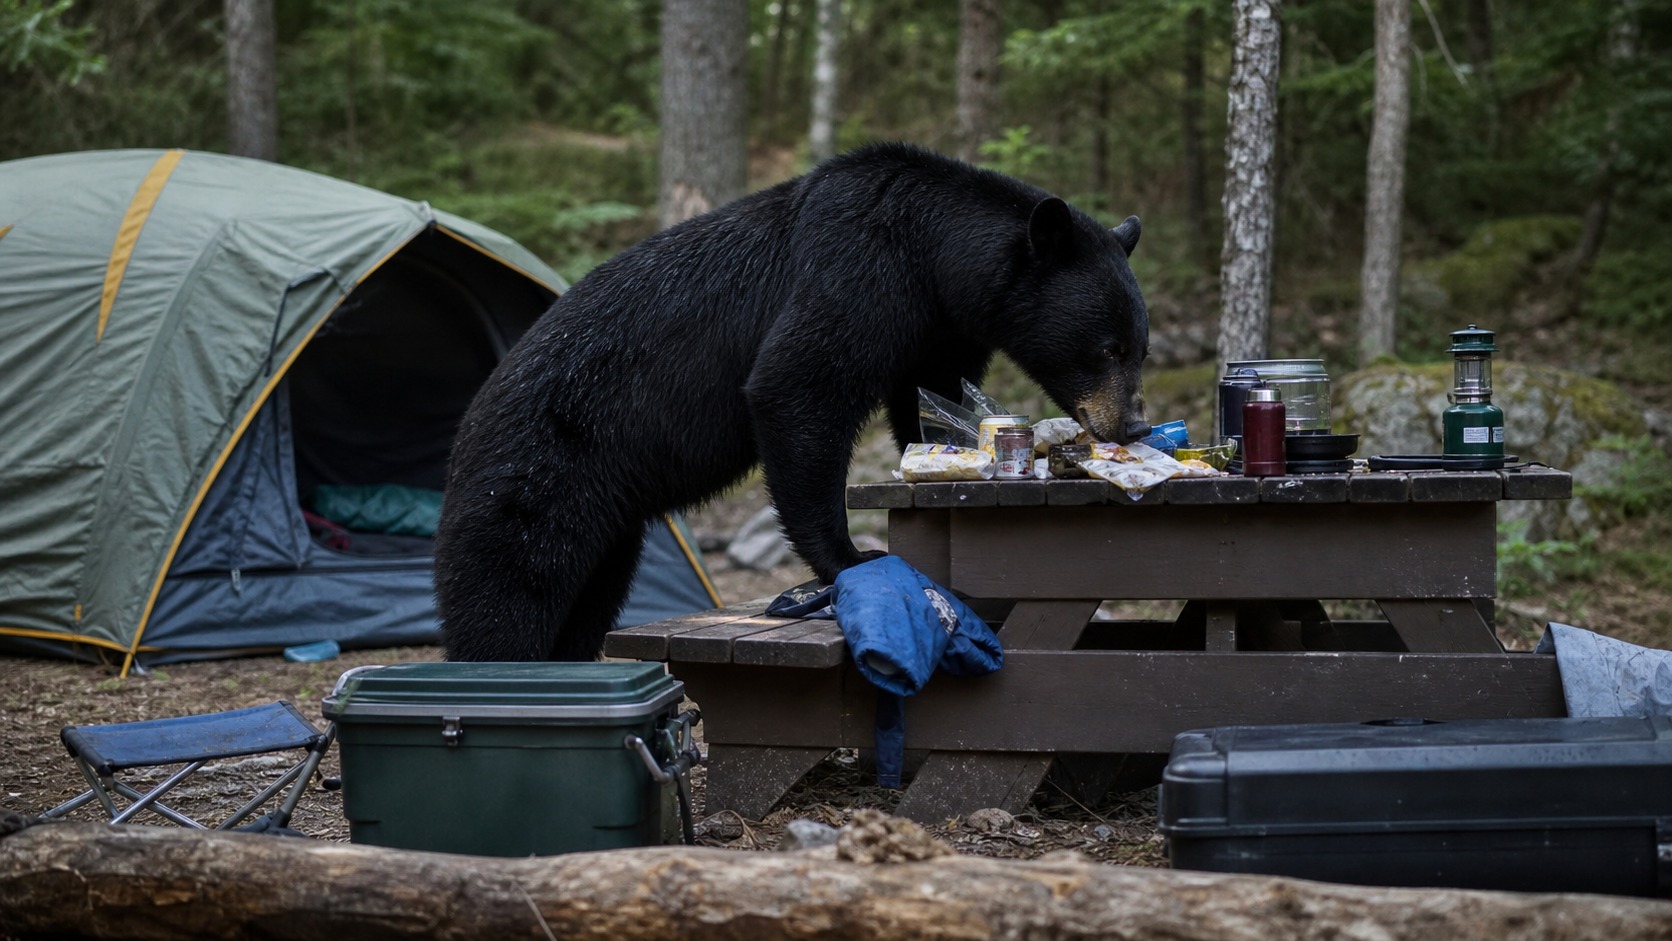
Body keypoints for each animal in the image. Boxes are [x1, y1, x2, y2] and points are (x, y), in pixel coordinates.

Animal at [433, 142, 1151, 661]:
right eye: (1109, 347)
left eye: (1139, 345)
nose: (1134, 424)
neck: (930, 257)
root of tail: (466, 426)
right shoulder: (855, 267)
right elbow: (796, 385)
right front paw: (851, 558)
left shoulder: (939, 325)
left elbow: (929, 397)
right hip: (534, 478)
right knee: (506, 595)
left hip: (606, 526)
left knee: (586, 599)